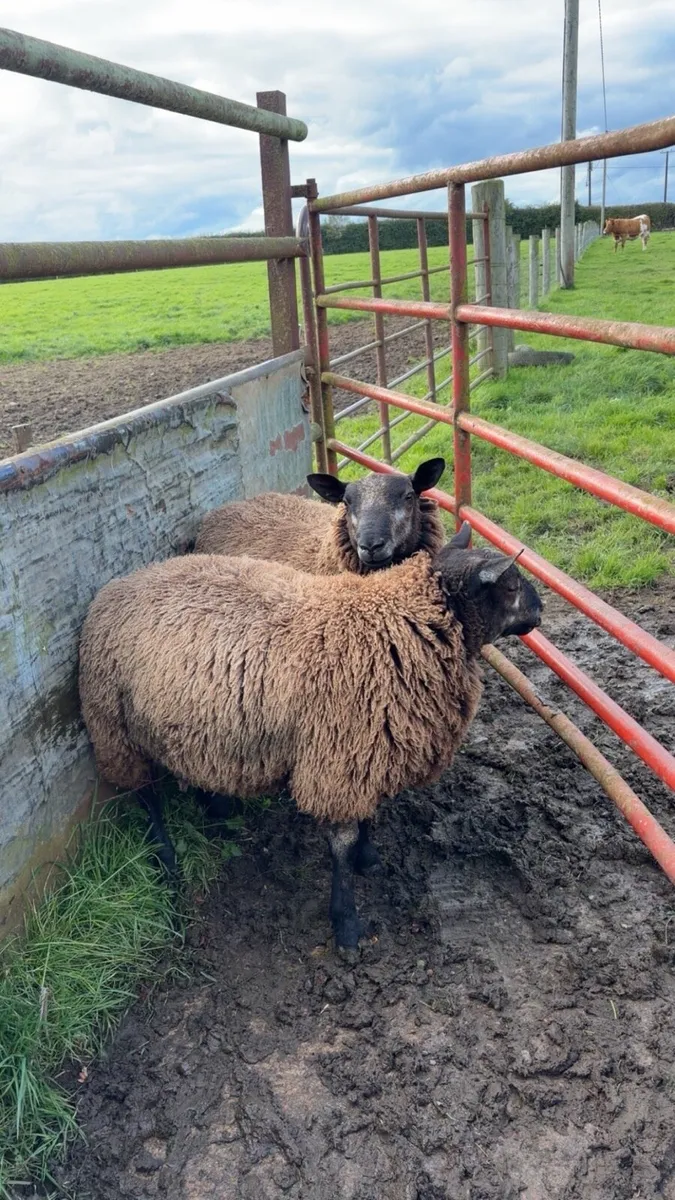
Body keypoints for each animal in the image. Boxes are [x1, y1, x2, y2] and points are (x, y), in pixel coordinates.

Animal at [79, 521, 542, 950]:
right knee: (146, 796)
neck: (397, 625)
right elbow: (341, 842)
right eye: (511, 585)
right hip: (113, 726)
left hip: (187, 722)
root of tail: (117, 585)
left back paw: (218, 810)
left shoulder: (368, 749)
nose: (539, 610)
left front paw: (369, 858)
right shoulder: (339, 756)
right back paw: (167, 859)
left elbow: (368, 816)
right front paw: (347, 923)